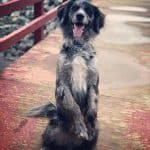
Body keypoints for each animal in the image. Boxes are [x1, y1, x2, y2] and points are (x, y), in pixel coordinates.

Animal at [27, 0, 104, 149]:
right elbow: (74, 107)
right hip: (51, 130)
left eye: (88, 11)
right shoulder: (63, 84)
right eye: (74, 8)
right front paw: (81, 128)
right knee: (47, 142)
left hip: (96, 134)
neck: (78, 47)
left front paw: (89, 125)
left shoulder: (93, 83)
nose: (80, 16)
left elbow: (92, 107)